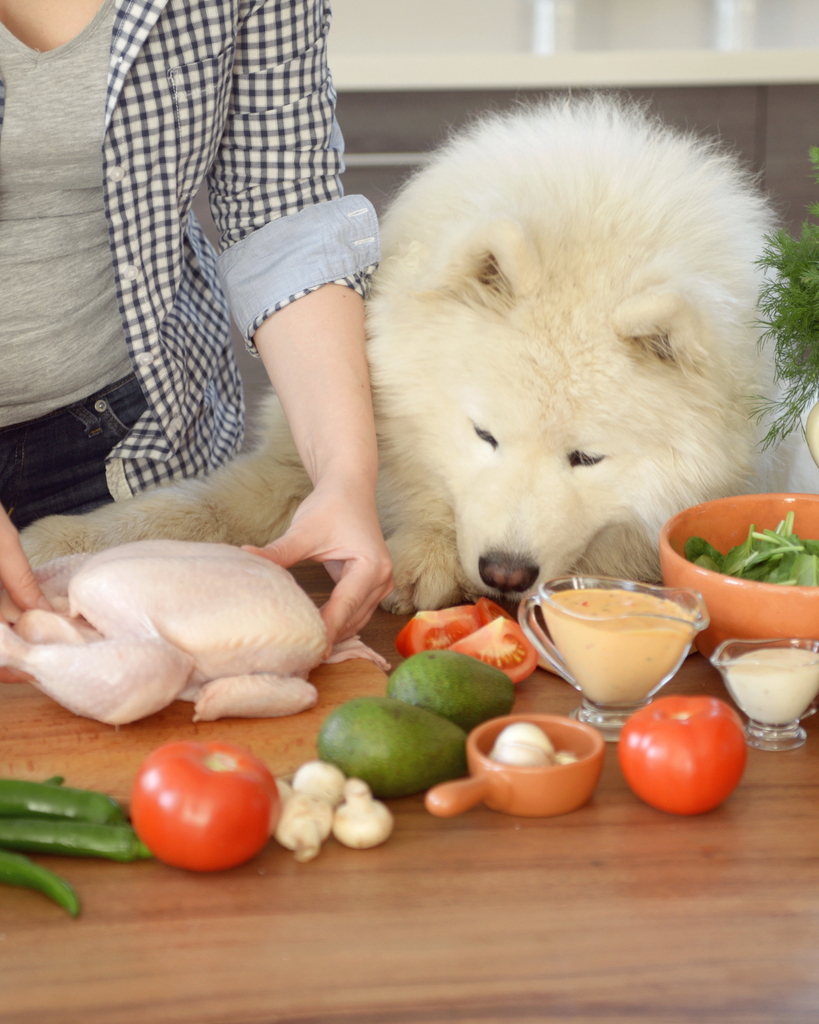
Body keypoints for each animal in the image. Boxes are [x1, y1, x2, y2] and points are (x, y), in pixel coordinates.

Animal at [19, 94, 773, 606]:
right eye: (484, 434)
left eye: (586, 459)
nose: (504, 571)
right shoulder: (306, 461)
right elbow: (194, 510)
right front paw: (49, 543)